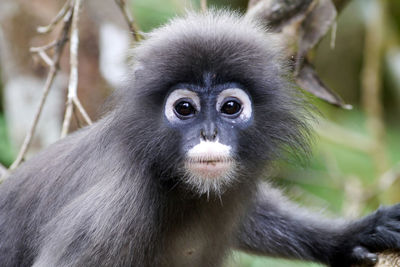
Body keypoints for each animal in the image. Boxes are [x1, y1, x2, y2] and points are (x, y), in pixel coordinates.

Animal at [0, 10, 400, 267]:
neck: (175, 183)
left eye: (230, 107)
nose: (209, 133)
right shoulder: (109, 214)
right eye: (185, 109)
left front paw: (353, 234)